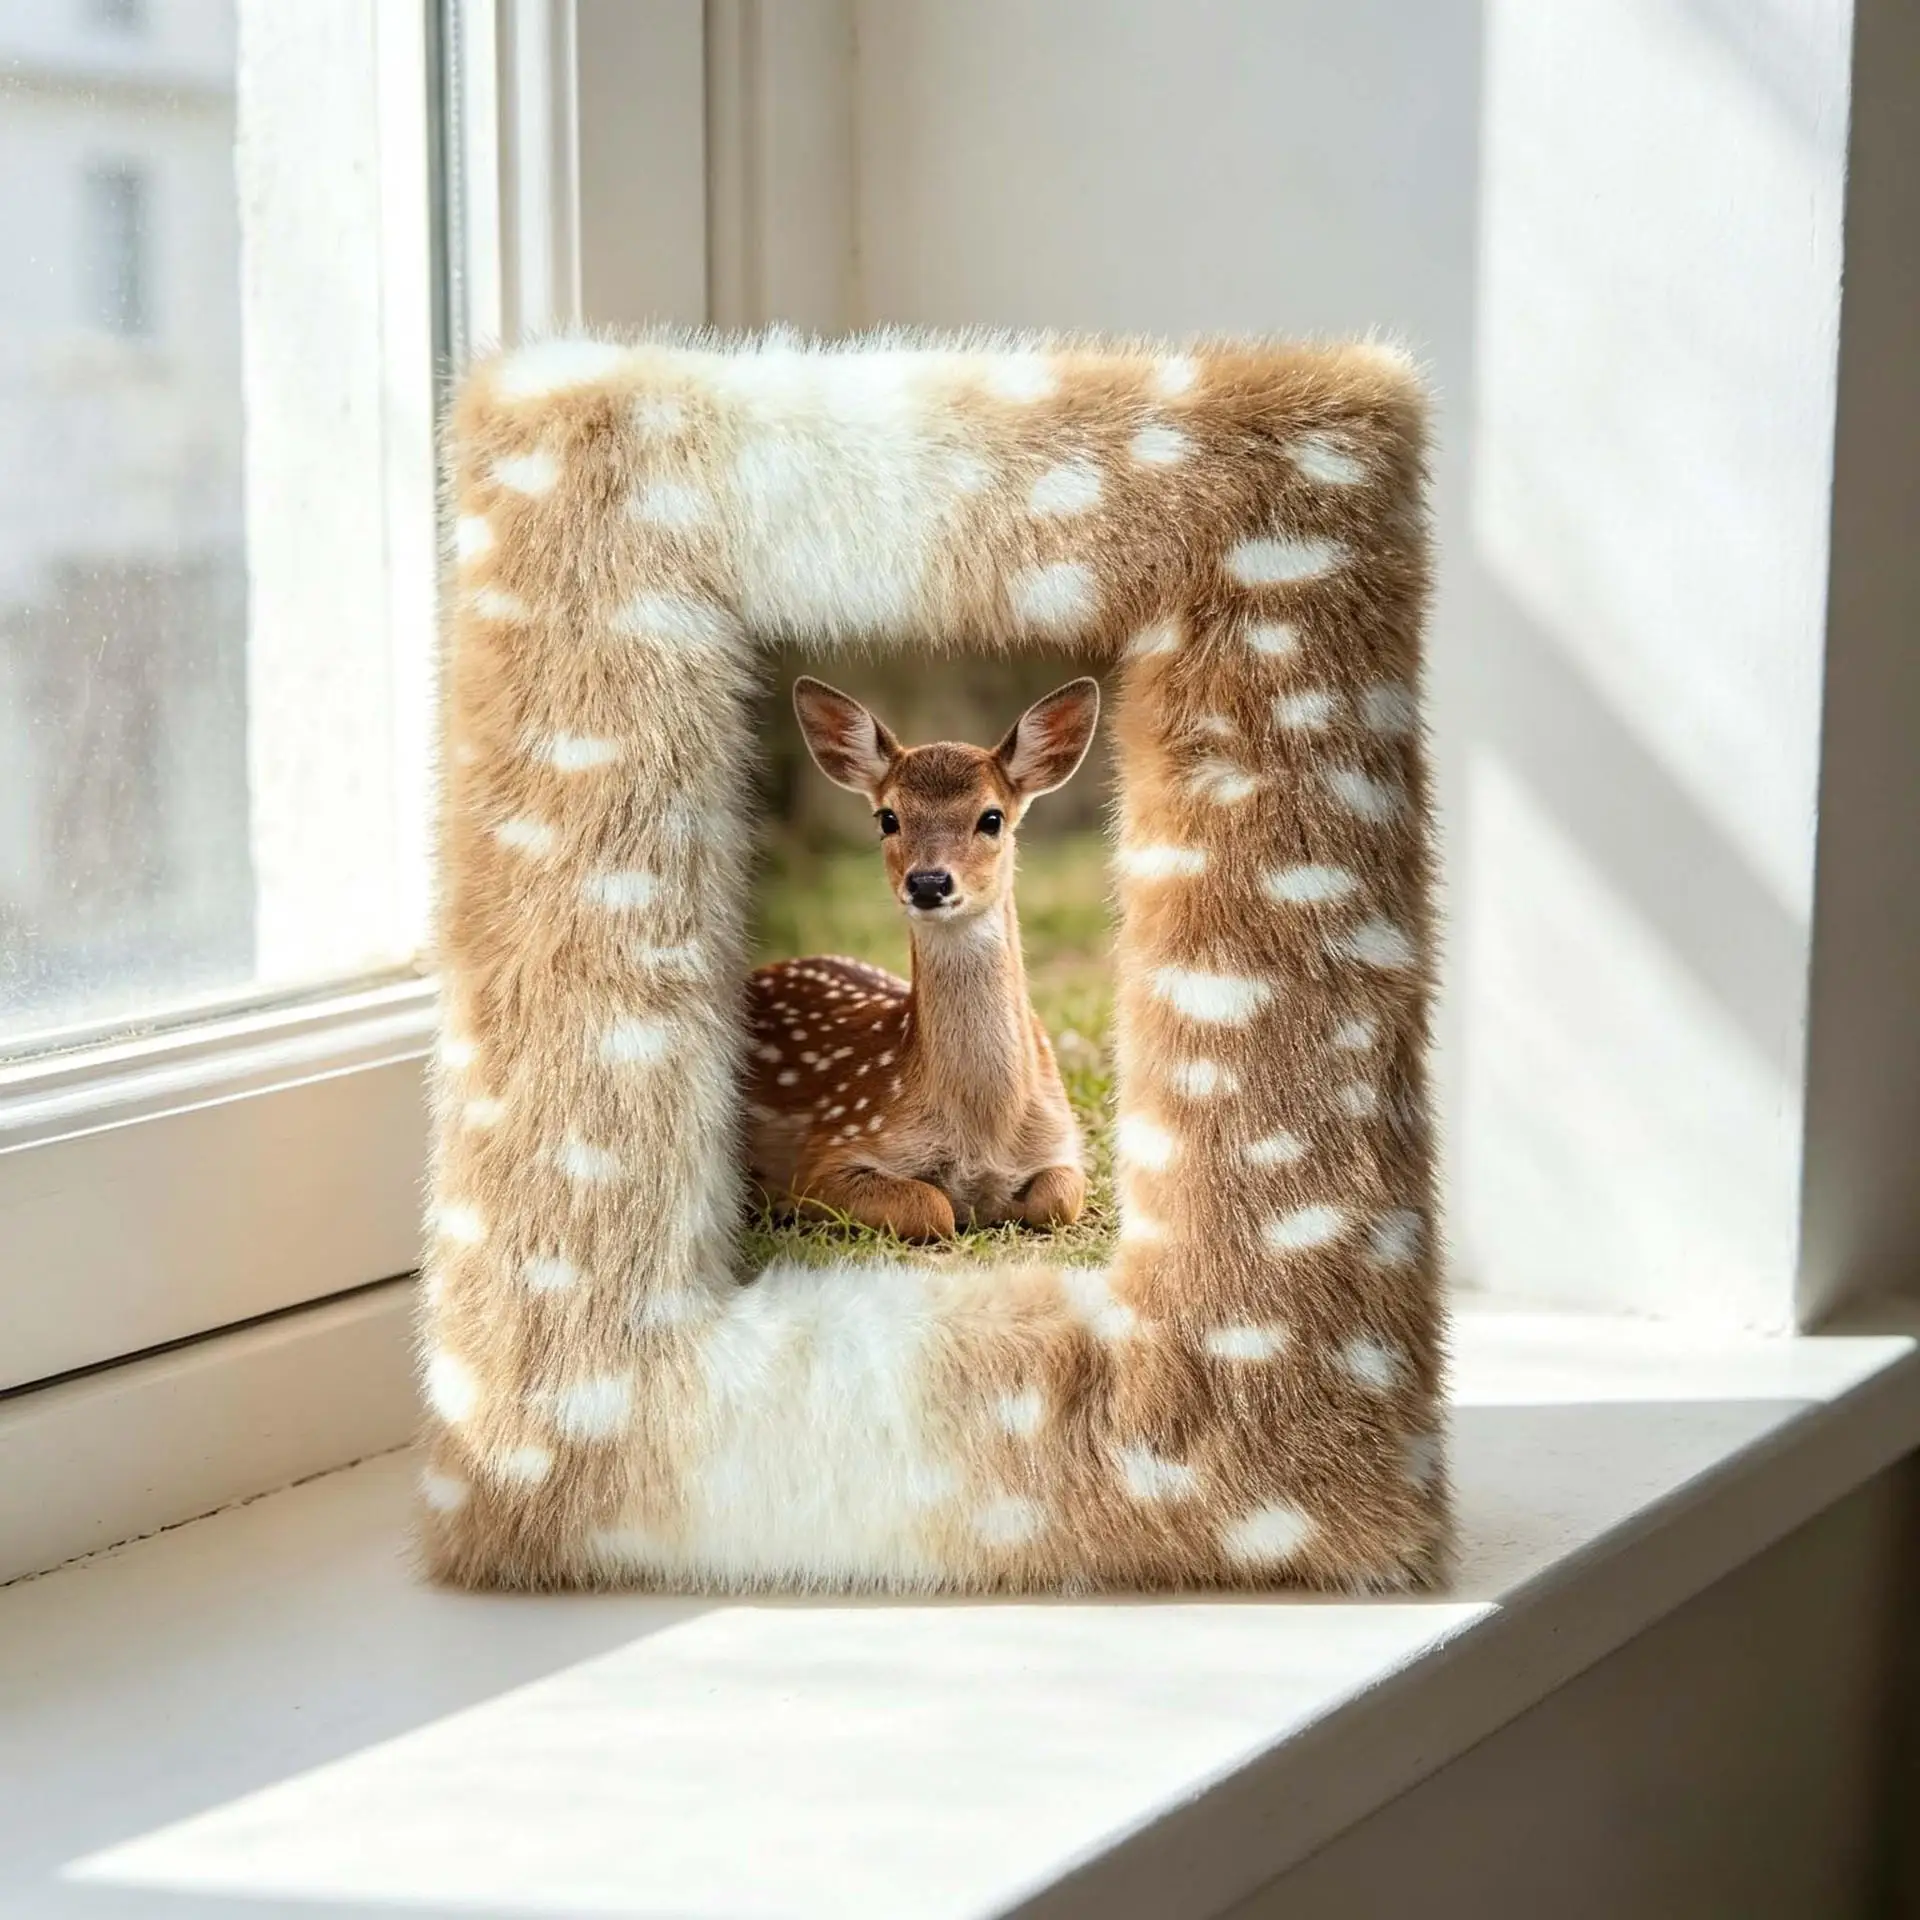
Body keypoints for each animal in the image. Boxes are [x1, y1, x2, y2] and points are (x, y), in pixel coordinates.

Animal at [743, 675, 1102, 1243]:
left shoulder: (1063, 1139)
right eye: (887, 818)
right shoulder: (832, 1150)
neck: (984, 1132)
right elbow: (932, 1207)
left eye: (992, 818)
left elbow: (1057, 1199)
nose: (928, 882)